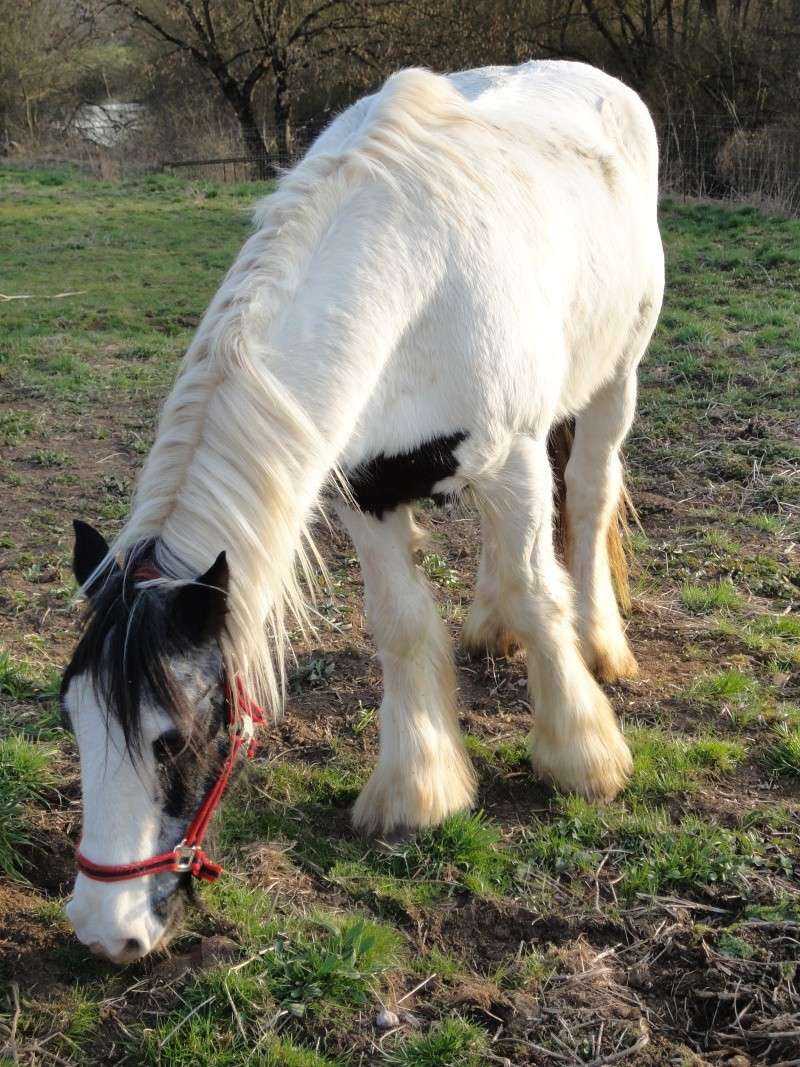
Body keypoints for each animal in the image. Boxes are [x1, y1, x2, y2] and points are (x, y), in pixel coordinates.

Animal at [61, 62, 665, 964]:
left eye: (175, 736)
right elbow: (403, 623)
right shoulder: (365, 487)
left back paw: (601, 645)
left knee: (587, 500)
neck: (412, 273)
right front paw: (418, 789)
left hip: (612, 381)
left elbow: (540, 589)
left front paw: (580, 754)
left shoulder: (517, 457)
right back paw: (489, 627)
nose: (107, 930)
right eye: (72, 719)